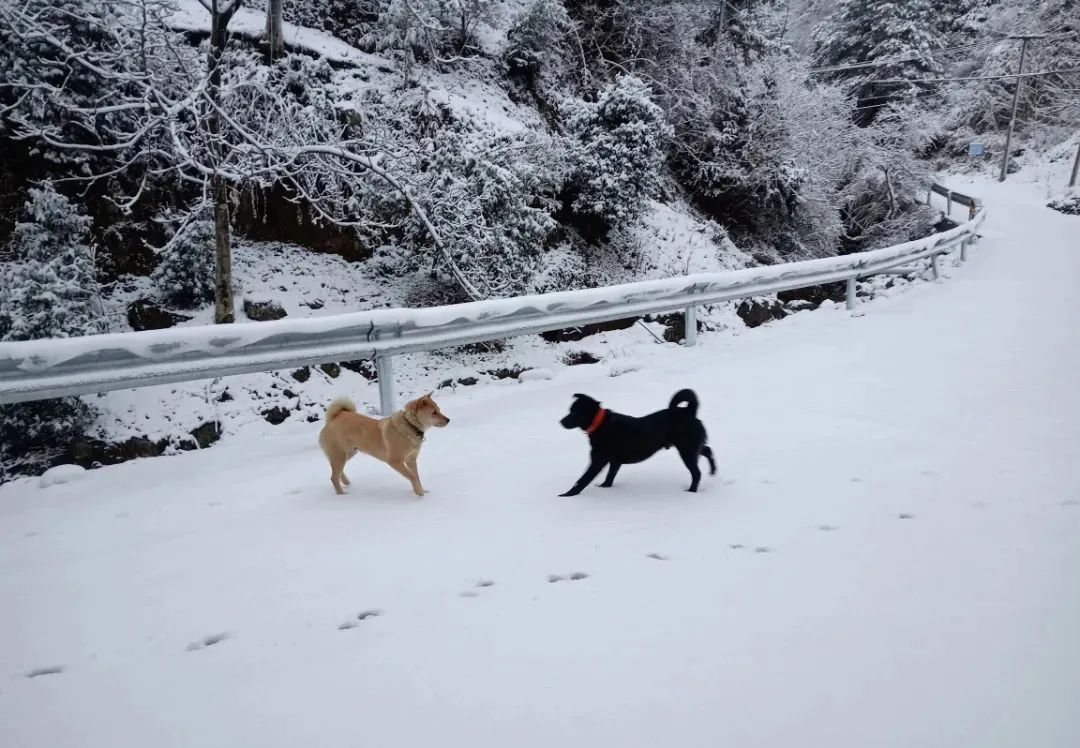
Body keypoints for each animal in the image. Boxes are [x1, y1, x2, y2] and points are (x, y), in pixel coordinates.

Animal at [315, 390, 449, 496]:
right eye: (434, 413)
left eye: (439, 410)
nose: (448, 420)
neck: (410, 425)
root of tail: (333, 418)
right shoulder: (395, 461)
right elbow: (411, 476)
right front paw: (419, 492)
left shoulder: (411, 460)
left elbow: (416, 476)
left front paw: (420, 490)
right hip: (340, 455)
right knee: (333, 477)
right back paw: (342, 495)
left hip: (349, 453)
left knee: (338, 471)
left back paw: (346, 482)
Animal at [557, 384, 717, 496]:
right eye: (570, 410)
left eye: (575, 412)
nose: (561, 422)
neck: (601, 424)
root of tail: (689, 412)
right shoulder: (614, 461)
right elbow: (610, 475)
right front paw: (605, 487)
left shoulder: (597, 461)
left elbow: (582, 480)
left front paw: (567, 495)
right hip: (691, 447)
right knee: (708, 450)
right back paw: (713, 471)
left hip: (687, 451)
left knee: (697, 473)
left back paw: (691, 491)